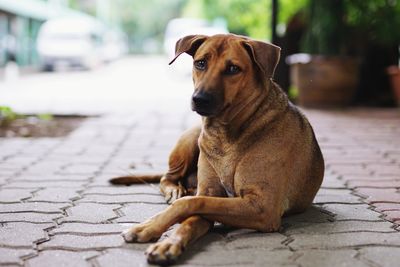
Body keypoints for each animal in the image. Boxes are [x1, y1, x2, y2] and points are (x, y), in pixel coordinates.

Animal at [110, 34, 324, 266]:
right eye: (200, 63)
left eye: (233, 68)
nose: (199, 99)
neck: (226, 134)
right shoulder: (214, 193)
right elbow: (192, 210)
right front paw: (159, 234)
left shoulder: (262, 207)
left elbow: (191, 203)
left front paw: (152, 231)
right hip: (191, 140)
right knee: (167, 178)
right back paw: (175, 189)